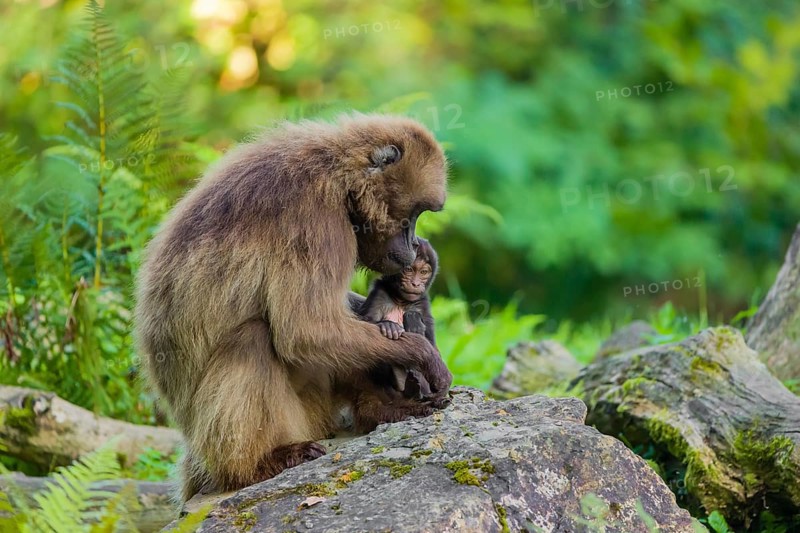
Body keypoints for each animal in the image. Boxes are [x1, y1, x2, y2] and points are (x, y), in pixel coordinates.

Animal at [134, 114, 453, 501]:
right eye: (413, 214)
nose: (413, 245)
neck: (339, 177)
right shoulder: (316, 220)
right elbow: (306, 331)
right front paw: (423, 354)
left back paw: (382, 409)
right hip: (288, 419)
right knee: (254, 337)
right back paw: (255, 465)